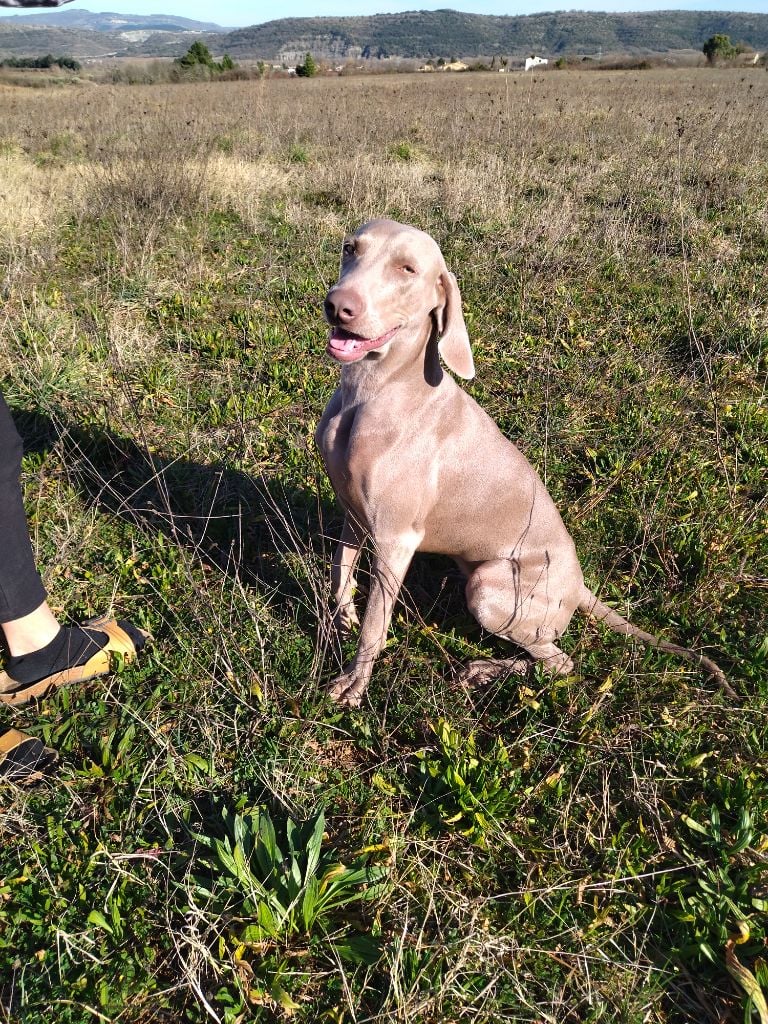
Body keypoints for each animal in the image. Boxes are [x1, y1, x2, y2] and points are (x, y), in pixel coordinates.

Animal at [313, 220, 733, 708]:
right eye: (350, 249)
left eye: (407, 269)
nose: (338, 305)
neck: (372, 390)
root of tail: (579, 586)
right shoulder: (355, 513)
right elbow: (341, 573)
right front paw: (340, 622)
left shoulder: (396, 538)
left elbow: (375, 625)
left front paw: (353, 683)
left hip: (488, 588)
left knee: (561, 663)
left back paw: (485, 669)